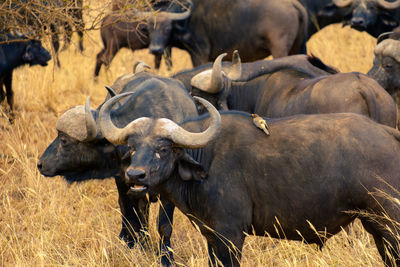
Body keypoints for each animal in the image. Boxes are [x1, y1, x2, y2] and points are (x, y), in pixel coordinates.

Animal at [38, 70, 198, 266]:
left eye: (64, 140)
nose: (41, 164)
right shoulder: (124, 180)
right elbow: (132, 216)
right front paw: (135, 246)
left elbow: (164, 225)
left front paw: (166, 257)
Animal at [97, 95, 400, 266]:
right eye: (133, 147)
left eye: (163, 148)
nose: (135, 175)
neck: (207, 159)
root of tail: (388, 134)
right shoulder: (212, 237)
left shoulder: (231, 235)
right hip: (376, 228)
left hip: (391, 225)